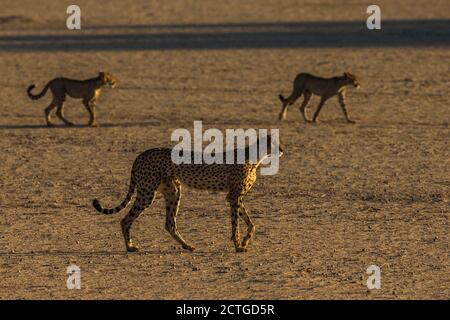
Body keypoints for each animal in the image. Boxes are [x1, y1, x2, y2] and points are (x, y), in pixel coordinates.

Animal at [92, 135, 284, 252]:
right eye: (274, 144)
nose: (282, 149)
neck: (256, 157)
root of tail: (141, 154)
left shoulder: (234, 196)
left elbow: (251, 223)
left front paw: (244, 241)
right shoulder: (234, 196)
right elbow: (236, 223)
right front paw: (238, 245)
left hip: (173, 191)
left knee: (169, 223)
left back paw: (187, 245)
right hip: (147, 193)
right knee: (126, 219)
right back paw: (130, 246)